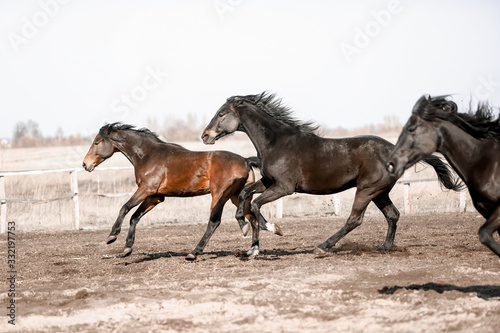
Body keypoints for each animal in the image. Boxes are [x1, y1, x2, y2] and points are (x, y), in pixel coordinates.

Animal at [80, 122, 280, 260]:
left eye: (97, 142)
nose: (85, 164)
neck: (146, 156)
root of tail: (245, 160)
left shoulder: (145, 190)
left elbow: (124, 208)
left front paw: (112, 236)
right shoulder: (155, 197)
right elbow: (135, 217)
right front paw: (127, 248)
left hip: (220, 196)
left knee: (215, 222)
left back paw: (194, 253)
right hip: (238, 197)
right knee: (252, 218)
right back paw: (253, 250)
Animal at [201, 92, 462, 253]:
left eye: (222, 113)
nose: (205, 135)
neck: (277, 143)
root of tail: (393, 151)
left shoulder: (284, 187)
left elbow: (255, 205)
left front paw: (271, 230)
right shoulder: (268, 181)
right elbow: (245, 195)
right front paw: (245, 228)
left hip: (367, 189)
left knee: (355, 219)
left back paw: (323, 246)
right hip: (380, 192)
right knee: (393, 215)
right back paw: (385, 247)